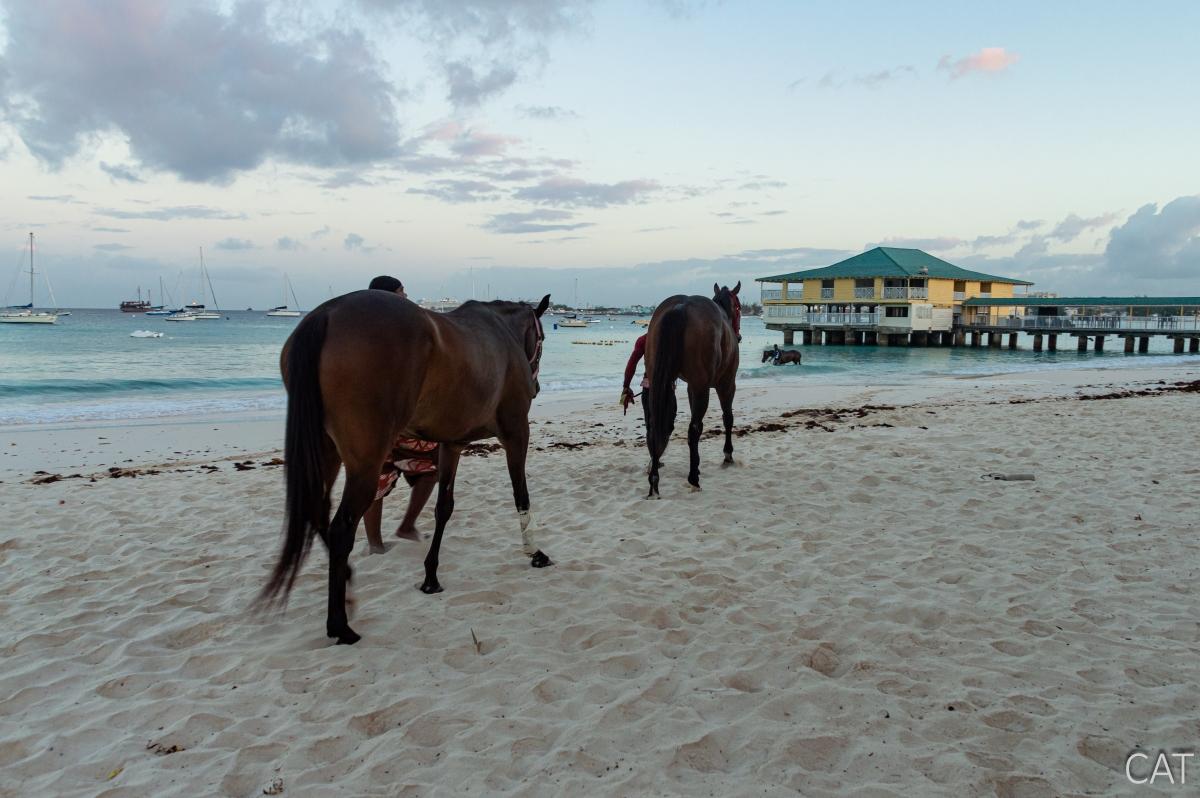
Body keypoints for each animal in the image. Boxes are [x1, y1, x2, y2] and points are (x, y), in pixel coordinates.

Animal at [262, 289, 552, 643]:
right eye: (542, 337)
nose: (537, 387)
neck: (500, 332)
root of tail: (328, 312)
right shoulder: (516, 433)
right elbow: (521, 495)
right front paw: (534, 552)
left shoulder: (451, 445)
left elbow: (444, 507)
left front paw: (431, 576)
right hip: (366, 465)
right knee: (341, 528)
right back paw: (340, 624)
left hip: (327, 455)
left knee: (317, 511)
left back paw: (348, 583)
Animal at [648, 279, 739, 492]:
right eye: (739, 307)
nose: (738, 336)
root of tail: (681, 306)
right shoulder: (726, 384)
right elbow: (728, 418)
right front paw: (727, 453)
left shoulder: (691, 387)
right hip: (702, 388)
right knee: (694, 428)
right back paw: (693, 477)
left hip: (658, 382)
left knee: (656, 425)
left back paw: (654, 477)